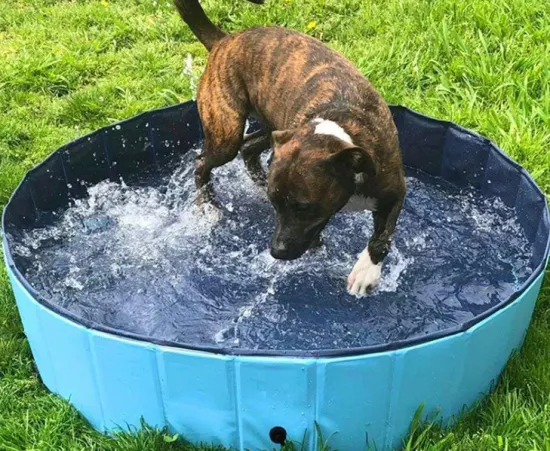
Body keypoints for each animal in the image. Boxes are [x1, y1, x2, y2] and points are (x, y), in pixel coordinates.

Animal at [175, 0, 408, 296]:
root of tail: (225, 40)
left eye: (304, 207)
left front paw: (366, 271)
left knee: (248, 148)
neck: (340, 134)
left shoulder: (394, 191)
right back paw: (207, 204)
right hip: (226, 131)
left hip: (271, 128)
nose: (277, 251)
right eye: (276, 205)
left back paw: (255, 181)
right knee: (204, 161)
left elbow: (382, 236)